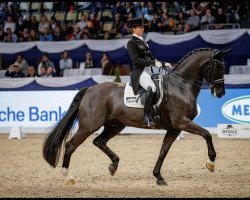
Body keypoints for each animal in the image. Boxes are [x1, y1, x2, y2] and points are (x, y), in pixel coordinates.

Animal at [42, 48, 230, 186]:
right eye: (218, 67)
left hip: (116, 125)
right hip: (89, 126)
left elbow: (163, 151)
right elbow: (207, 134)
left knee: (99, 141)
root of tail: (90, 89)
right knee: (70, 145)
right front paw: (211, 163)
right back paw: (68, 176)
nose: (220, 93)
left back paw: (113, 165)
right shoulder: (182, 123)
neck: (181, 85)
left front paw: (158, 176)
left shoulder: (174, 128)